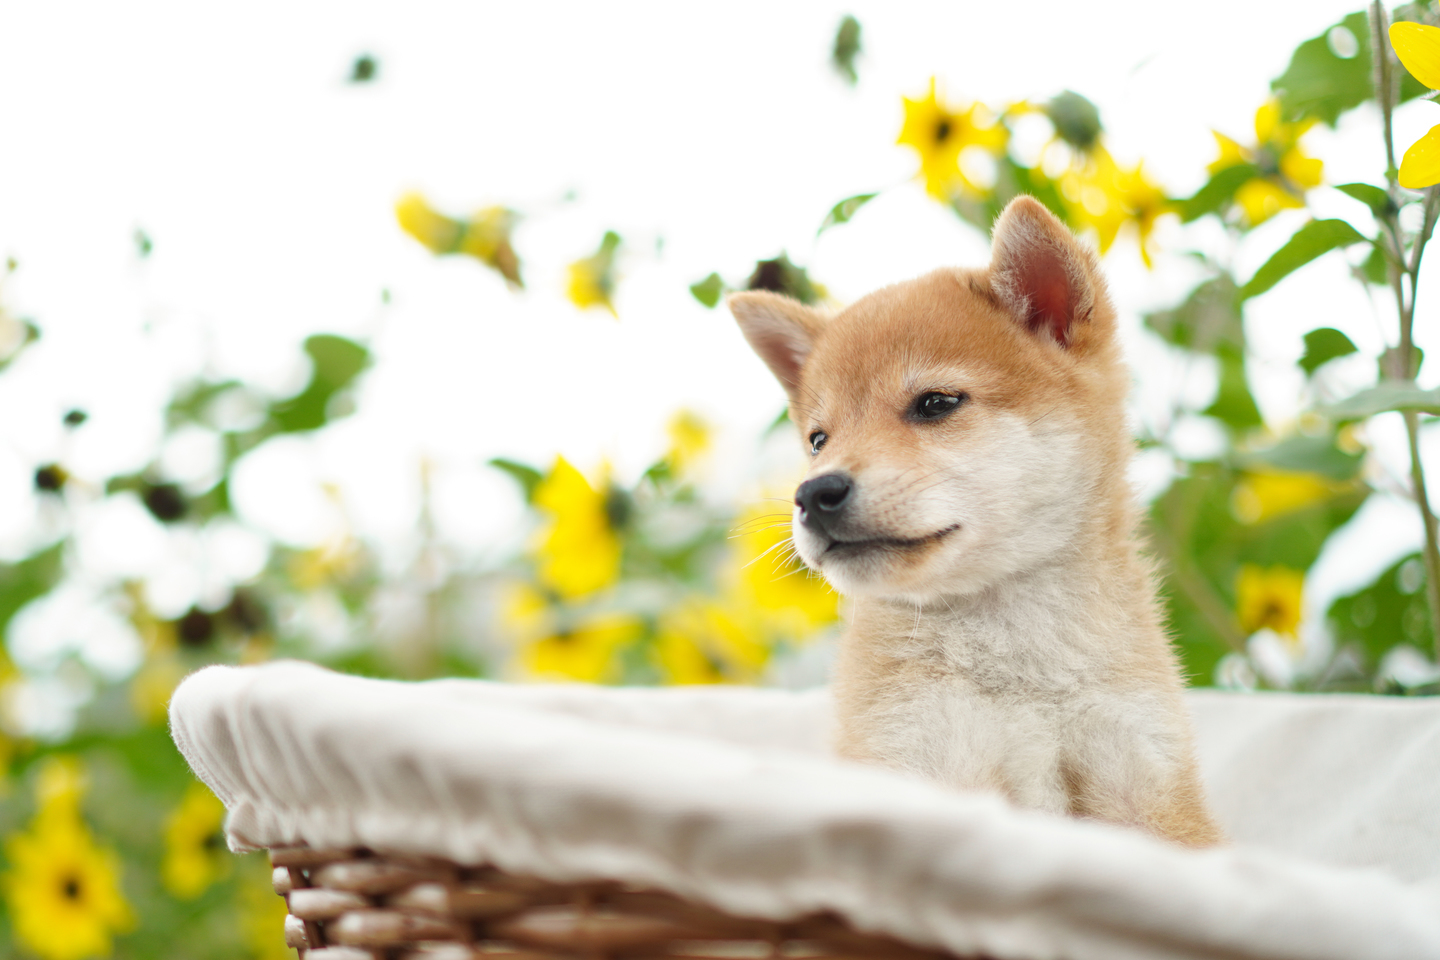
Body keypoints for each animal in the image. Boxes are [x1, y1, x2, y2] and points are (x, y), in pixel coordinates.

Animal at [727, 196, 1223, 846]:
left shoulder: (1143, 775)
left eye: (935, 404)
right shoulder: (917, 755)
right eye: (818, 440)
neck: (1021, 671)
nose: (813, 493)